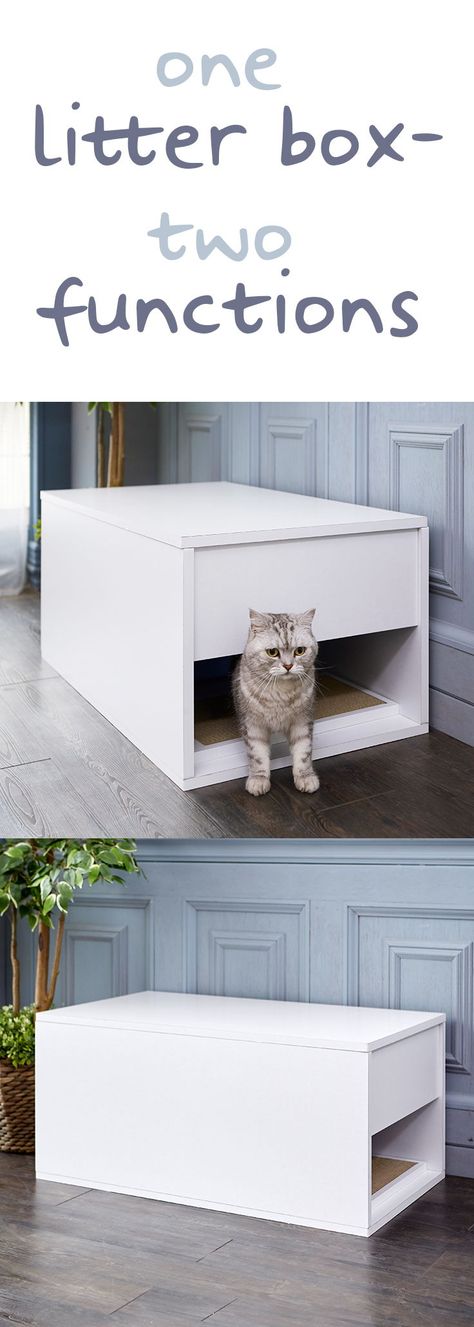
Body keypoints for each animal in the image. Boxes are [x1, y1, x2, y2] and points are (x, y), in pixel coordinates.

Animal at [232, 610, 317, 796]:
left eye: (300, 651)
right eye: (272, 652)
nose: (288, 665)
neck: (280, 693)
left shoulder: (302, 721)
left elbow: (304, 752)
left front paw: (305, 777)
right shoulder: (253, 725)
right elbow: (257, 755)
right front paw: (258, 780)